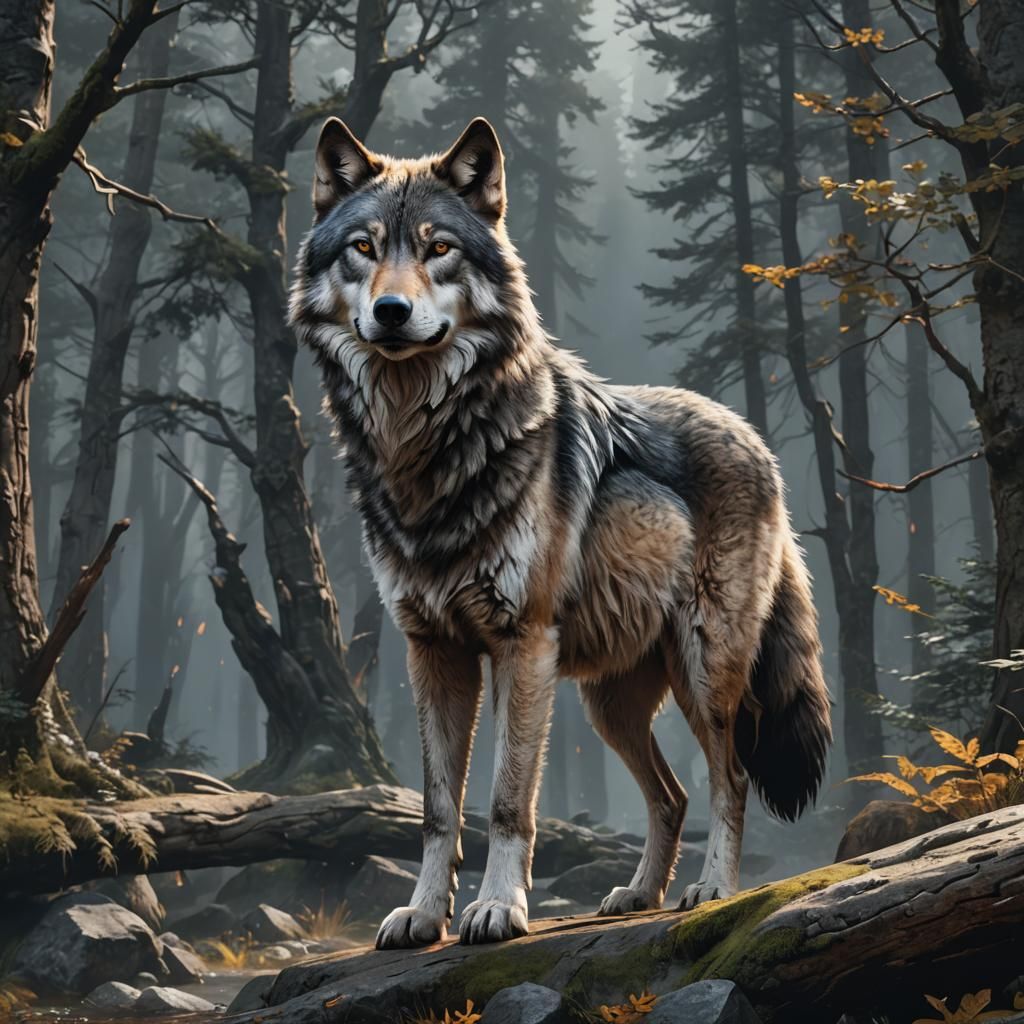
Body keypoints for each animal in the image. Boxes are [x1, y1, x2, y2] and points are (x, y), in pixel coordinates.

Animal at [289, 116, 832, 949]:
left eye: (438, 248)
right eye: (363, 247)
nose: (390, 312)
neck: (425, 449)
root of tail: (753, 436)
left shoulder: (522, 644)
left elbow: (508, 801)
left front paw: (497, 909)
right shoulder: (431, 650)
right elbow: (437, 809)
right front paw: (424, 914)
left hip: (703, 669)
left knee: (730, 776)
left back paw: (710, 890)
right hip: (610, 704)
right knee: (671, 795)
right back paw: (637, 894)